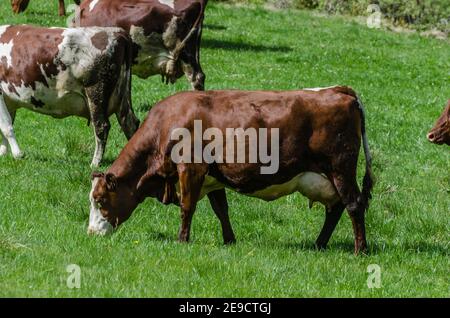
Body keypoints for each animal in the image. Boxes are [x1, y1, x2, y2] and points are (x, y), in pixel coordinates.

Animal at [0, 24, 140, 166]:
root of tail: (117, 32)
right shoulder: (8, 100)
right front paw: (3, 153)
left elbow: (6, 126)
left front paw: (18, 154)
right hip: (122, 94)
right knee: (130, 123)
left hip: (96, 91)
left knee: (101, 126)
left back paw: (94, 163)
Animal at [89, 86, 374, 253]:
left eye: (100, 199)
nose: (91, 233)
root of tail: (338, 90)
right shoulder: (212, 176)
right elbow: (221, 210)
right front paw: (229, 240)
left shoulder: (191, 169)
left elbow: (187, 207)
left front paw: (182, 240)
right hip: (327, 177)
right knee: (335, 208)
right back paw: (319, 244)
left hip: (341, 169)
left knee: (354, 205)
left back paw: (360, 249)